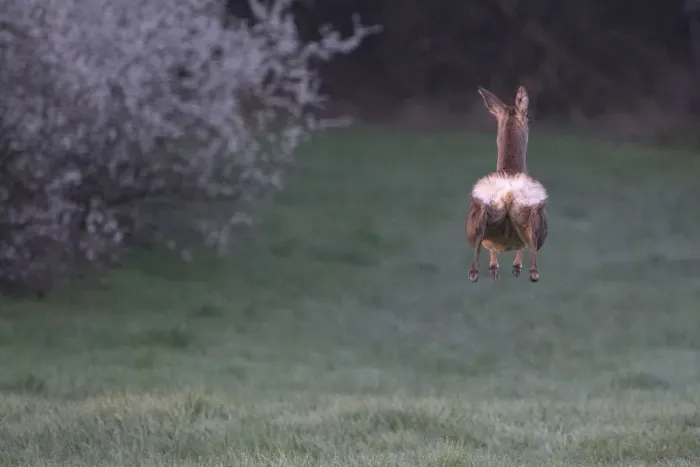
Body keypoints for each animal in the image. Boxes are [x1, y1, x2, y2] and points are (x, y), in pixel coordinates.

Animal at [465, 85, 548, 283]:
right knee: (531, 250)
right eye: (528, 118)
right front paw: (510, 267)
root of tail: (509, 191)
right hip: (535, 214)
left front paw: (497, 268)